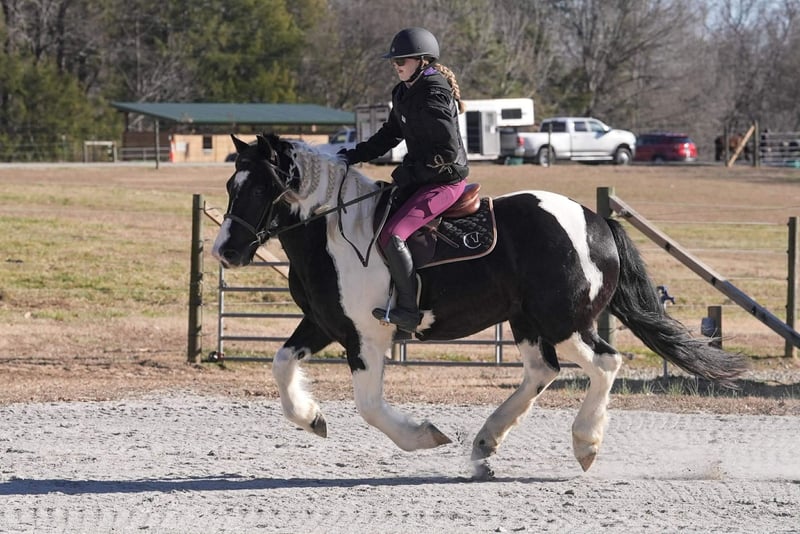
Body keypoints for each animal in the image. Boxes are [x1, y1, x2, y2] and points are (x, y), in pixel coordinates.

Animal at [212, 133, 747, 474]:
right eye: (231, 186)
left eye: (261, 186)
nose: (225, 251)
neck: (335, 231)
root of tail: (596, 221)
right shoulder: (324, 323)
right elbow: (282, 364)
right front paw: (312, 418)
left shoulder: (366, 336)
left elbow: (369, 406)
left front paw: (422, 435)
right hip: (527, 320)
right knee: (542, 371)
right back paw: (487, 440)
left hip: (565, 321)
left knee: (604, 363)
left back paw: (585, 443)